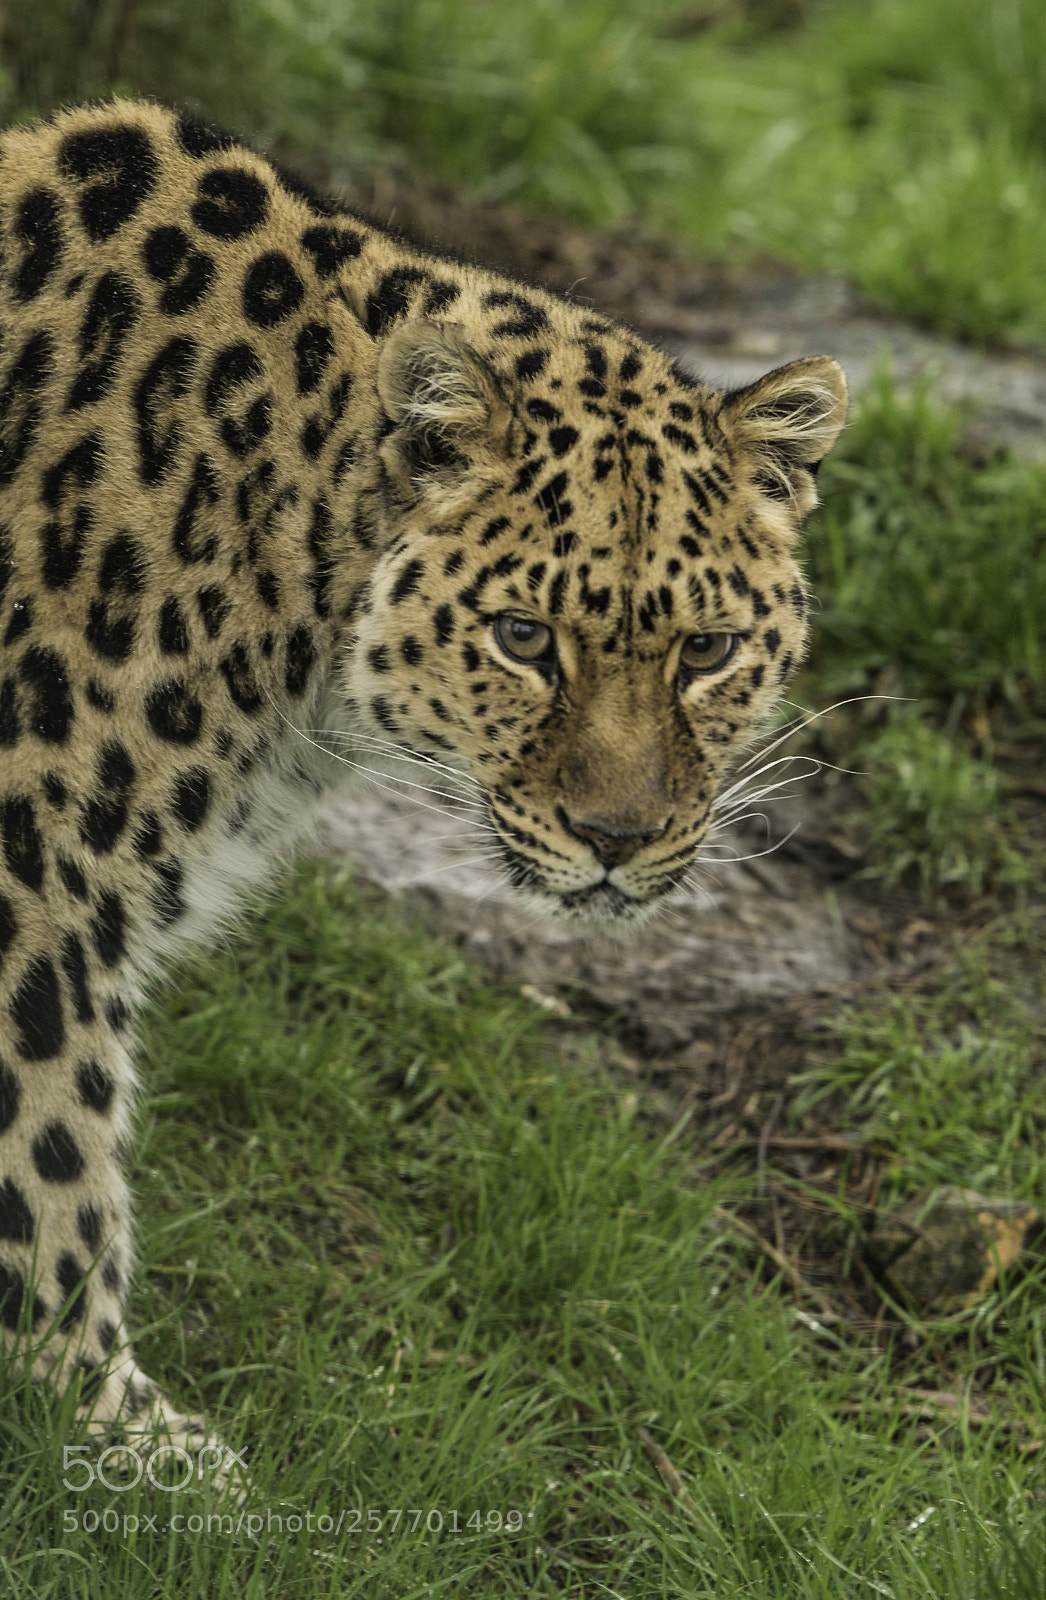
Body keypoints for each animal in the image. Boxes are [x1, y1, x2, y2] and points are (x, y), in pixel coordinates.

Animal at [0, 98, 847, 1470]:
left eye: (707, 652)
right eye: (522, 637)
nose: (618, 837)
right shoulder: (32, 876)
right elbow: (50, 1158)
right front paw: (118, 1440)